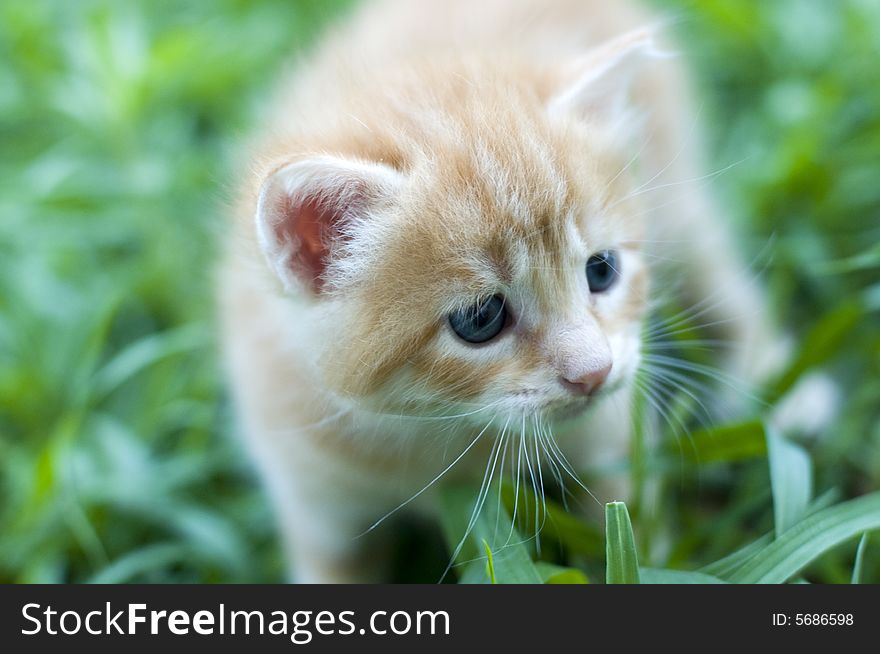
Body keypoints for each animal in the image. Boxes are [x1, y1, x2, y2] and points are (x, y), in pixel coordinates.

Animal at [222, 0, 784, 584]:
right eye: (481, 319)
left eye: (602, 271)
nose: (595, 373)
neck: (434, 433)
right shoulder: (313, 498)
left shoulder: (611, 437)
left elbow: (628, 531)